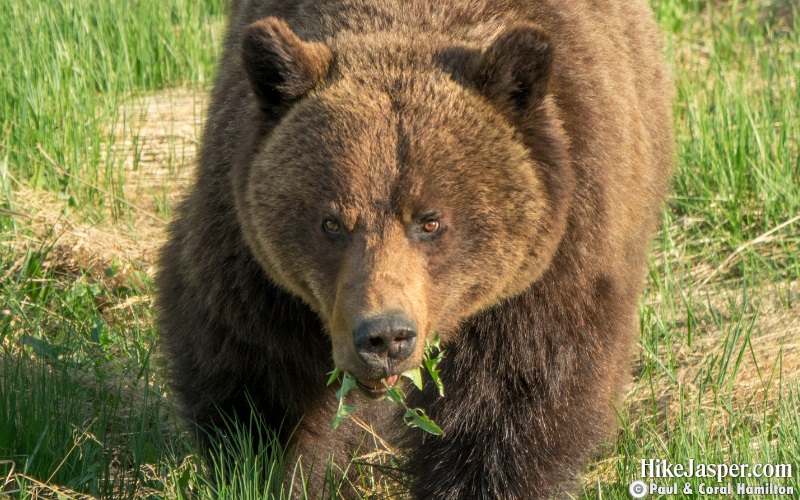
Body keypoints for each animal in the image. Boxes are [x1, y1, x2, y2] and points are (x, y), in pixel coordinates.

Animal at [156, 0, 673, 497]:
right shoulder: (250, 253)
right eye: (331, 223)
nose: (385, 337)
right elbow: (255, 370)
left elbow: (517, 398)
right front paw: (272, 470)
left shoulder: (556, 255)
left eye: (431, 221)